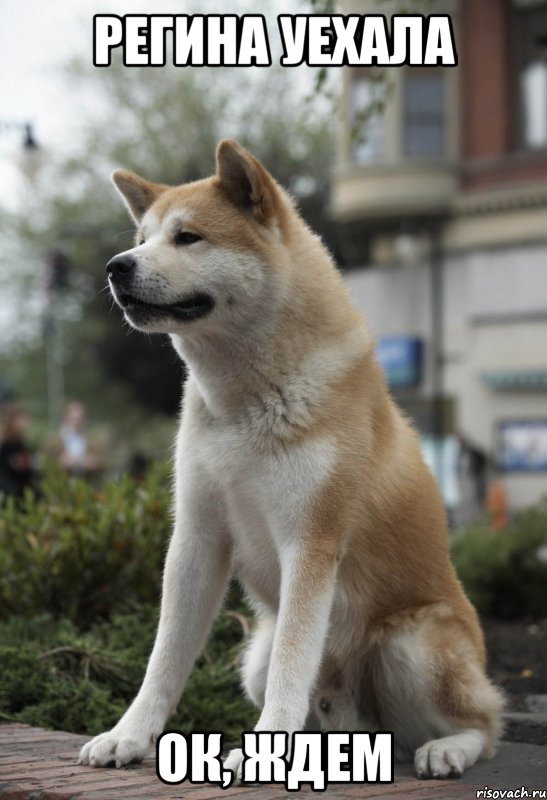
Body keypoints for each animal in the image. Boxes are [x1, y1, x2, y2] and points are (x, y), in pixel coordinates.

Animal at [78, 139, 506, 780]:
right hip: (254, 656)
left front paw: (262, 750)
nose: (116, 265)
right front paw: (128, 735)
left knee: (484, 725)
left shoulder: (311, 541)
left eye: (188, 237)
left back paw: (447, 749)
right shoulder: (197, 537)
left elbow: (292, 662)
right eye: (143, 236)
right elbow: (165, 658)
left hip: (410, 645)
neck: (245, 402)